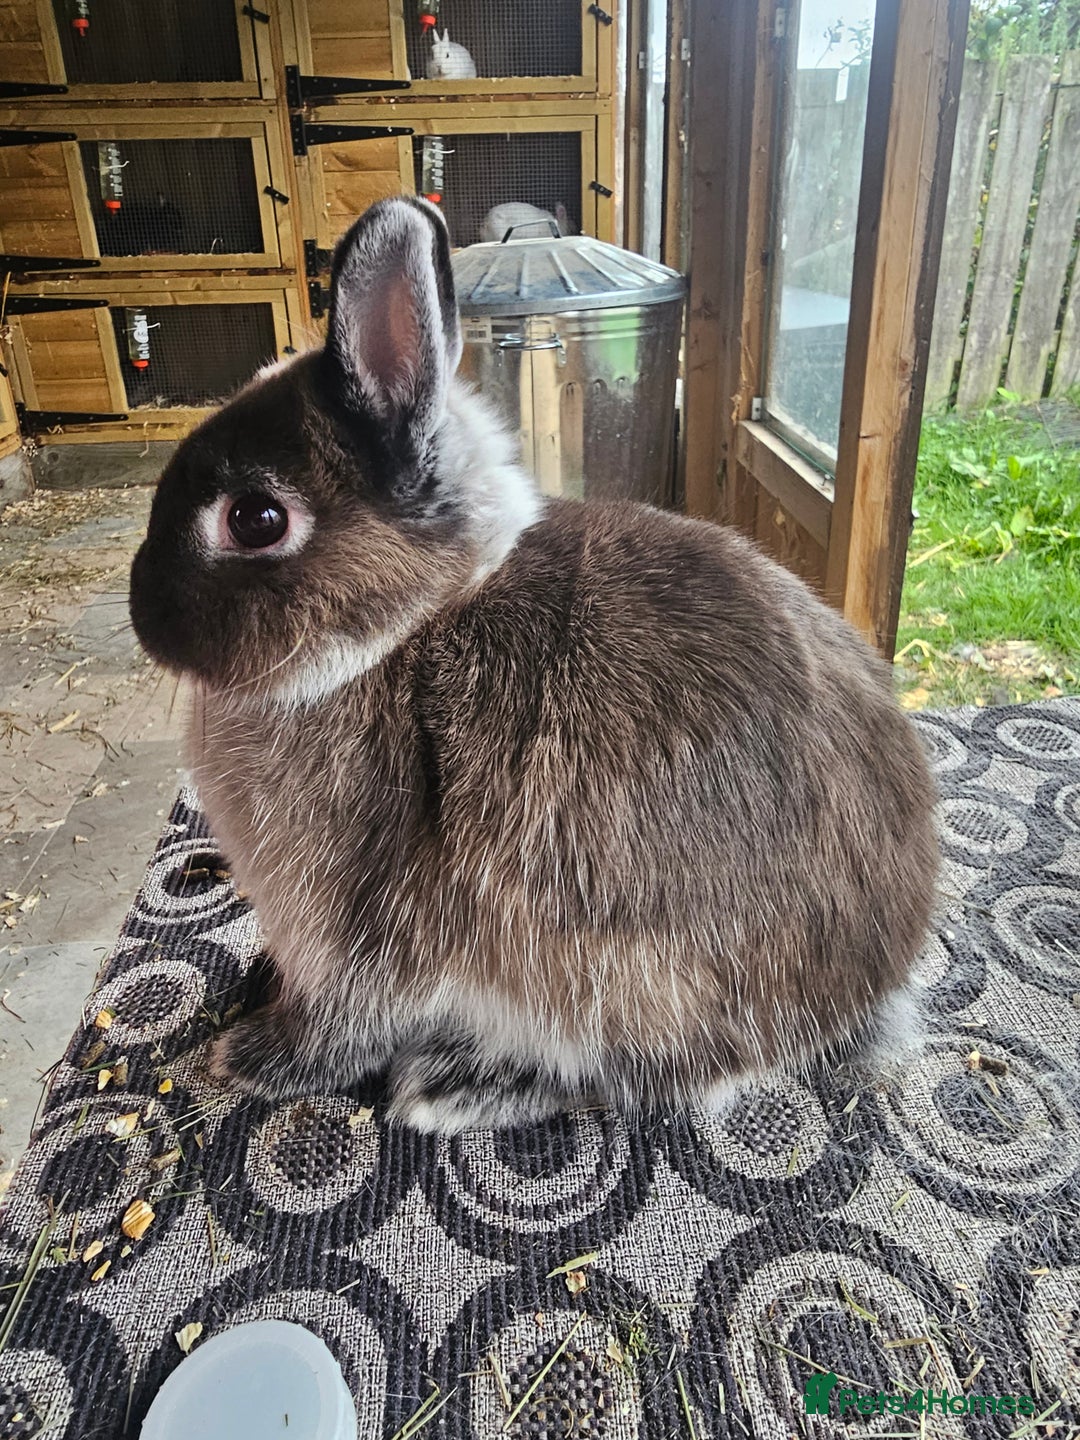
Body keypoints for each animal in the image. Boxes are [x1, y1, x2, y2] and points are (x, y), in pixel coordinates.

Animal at [129, 196, 939, 1135]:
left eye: (255, 519)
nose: (142, 611)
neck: (403, 633)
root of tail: (867, 984)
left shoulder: (354, 919)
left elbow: (344, 1024)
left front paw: (252, 1058)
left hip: (613, 982)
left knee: (646, 1077)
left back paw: (457, 1085)